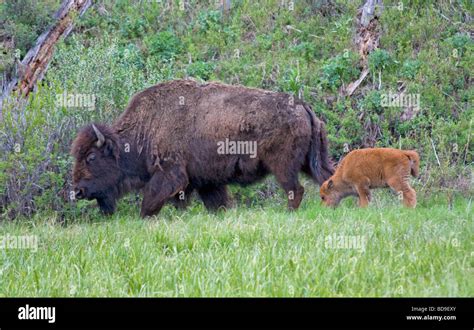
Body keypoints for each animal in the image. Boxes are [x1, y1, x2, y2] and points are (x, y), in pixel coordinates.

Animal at [72, 79, 336, 217]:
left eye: (91, 157)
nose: (78, 191)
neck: (145, 129)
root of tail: (301, 104)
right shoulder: (206, 182)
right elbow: (215, 203)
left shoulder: (170, 173)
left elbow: (150, 200)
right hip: (311, 161)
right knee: (328, 178)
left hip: (283, 165)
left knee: (296, 189)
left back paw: (288, 212)